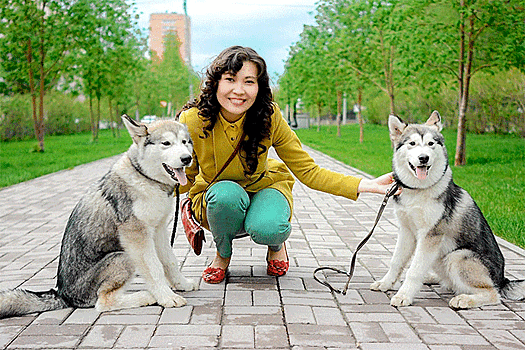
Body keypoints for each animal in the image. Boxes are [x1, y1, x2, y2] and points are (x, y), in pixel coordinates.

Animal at [0, 115, 198, 320]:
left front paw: (181, 284)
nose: (187, 158)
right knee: (103, 302)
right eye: (166, 143)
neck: (144, 177)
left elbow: (169, 261)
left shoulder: (158, 229)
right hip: (124, 256)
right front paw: (166, 296)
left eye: (185, 142)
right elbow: (154, 268)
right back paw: (145, 296)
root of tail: (63, 295)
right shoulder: (138, 236)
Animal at [368, 111, 524, 308]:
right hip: (439, 257)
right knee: (448, 280)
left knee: (492, 294)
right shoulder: (406, 230)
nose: (424, 158)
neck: (418, 190)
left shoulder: (430, 235)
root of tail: (503, 279)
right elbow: (396, 261)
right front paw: (386, 283)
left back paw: (464, 299)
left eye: (430, 144)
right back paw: (432, 278)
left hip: (457, 256)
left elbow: (414, 270)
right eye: (412, 144)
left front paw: (404, 295)